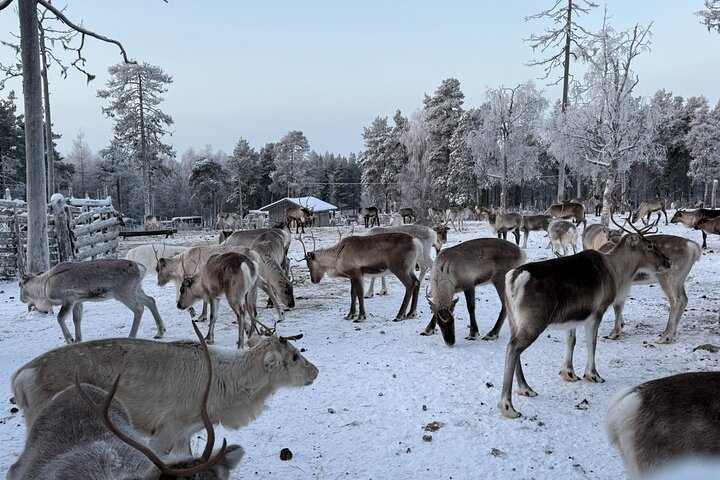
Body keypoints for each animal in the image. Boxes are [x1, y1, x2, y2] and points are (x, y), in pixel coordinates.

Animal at [19, 259, 165, 344]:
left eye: (20, 284)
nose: (21, 299)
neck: (44, 287)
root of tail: (140, 268)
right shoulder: (78, 301)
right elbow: (76, 319)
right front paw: (78, 340)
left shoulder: (69, 299)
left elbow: (60, 318)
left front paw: (70, 339)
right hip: (137, 290)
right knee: (151, 300)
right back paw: (160, 332)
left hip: (124, 293)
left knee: (139, 308)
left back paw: (131, 336)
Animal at [497, 215, 672, 419]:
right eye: (650, 245)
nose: (668, 262)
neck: (617, 271)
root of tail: (514, 277)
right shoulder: (597, 312)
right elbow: (591, 343)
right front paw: (593, 374)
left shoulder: (571, 318)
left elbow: (571, 341)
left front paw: (569, 373)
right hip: (535, 320)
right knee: (513, 347)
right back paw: (508, 406)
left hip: (513, 319)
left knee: (513, 346)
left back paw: (525, 388)